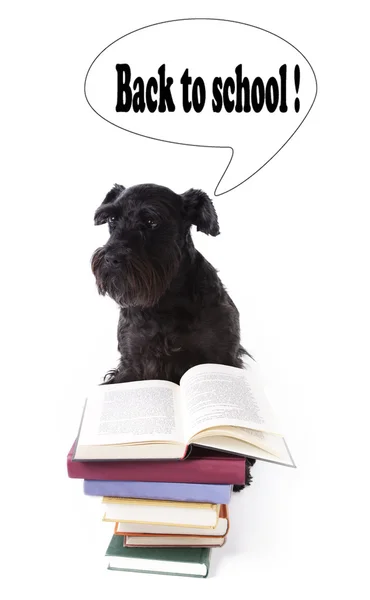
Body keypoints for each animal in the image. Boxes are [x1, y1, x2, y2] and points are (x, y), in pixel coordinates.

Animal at [92, 185, 254, 490]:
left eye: (151, 221)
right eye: (112, 219)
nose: (110, 258)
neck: (165, 299)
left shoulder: (222, 359)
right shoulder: (132, 364)